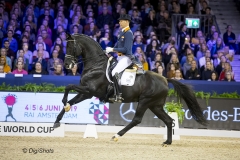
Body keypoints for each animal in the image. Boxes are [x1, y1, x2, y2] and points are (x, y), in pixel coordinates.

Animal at [53, 33, 207, 146]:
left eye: (71, 46)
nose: (66, 65)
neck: (96, 65)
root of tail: (165, 79)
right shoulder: (86, 93)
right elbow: (71, 100)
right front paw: (57, 122)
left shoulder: (90, 90)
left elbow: (68, 87)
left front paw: (63, 102)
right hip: (155, 105)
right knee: (168, 121)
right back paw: (167, 142)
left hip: (145, 101)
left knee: (137, 120)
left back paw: (116, 135)